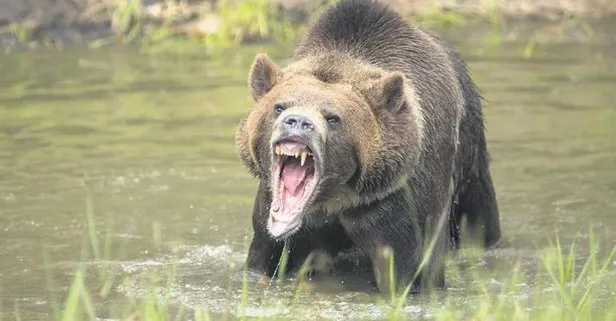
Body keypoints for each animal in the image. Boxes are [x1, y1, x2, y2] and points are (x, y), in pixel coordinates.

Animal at [235, 0, 500, 292]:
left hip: (469, 153)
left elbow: (408, 269)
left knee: (478, 214)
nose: (298, 122)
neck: (335, 198)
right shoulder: (274, 215)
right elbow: (265, 255)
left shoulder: (397, 203)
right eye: (279, 106)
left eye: (333, 117)